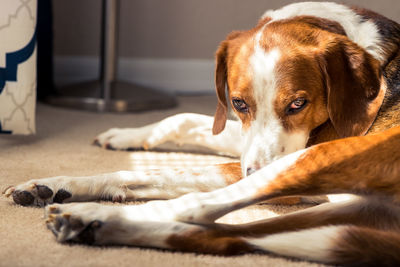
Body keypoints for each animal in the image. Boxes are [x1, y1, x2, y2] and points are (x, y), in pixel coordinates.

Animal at [4, 1, 400, 266]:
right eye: (239, 103)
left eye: (298, 104)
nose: (253, 172)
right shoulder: (245, 140)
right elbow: (181, 121)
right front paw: (118, 139)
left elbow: (177, 173)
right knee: (225, 237)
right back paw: (92, 224)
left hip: (321, 162)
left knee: (197, 207)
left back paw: (89, 215)